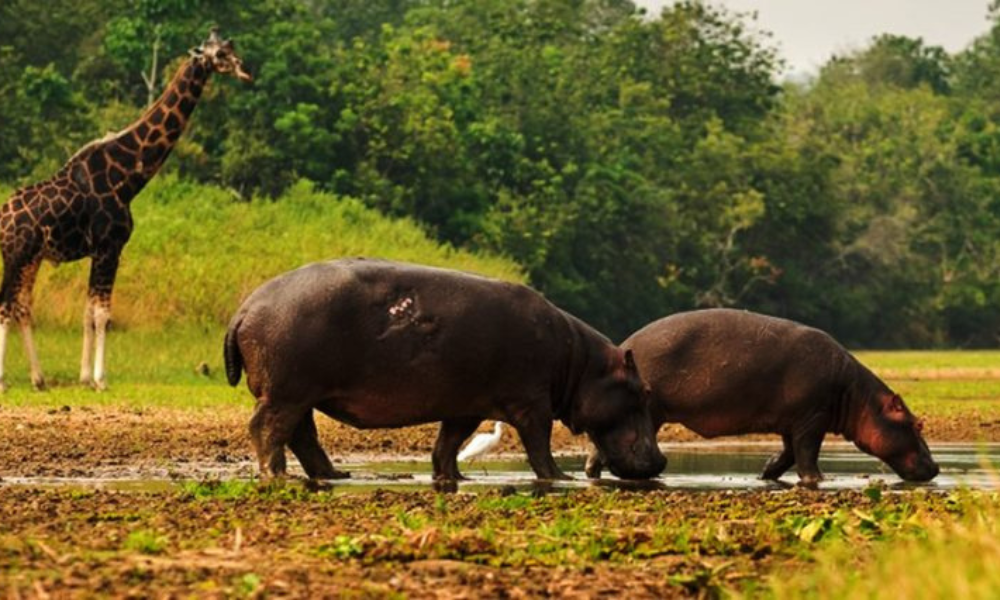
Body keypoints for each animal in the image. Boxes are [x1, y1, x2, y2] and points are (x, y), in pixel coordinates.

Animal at [0, 29, 254, 394]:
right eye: (219, 54)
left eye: (231, 48)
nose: (245, 70)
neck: (128, 179)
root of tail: (3, 218)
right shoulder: (111, 246)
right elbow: (102, 314)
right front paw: (100, 379)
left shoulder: (99, 251)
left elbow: (88, 311)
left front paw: (84, 377)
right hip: (16, 253)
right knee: (6, 305)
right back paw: (5, 378)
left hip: (32, 257)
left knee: (22, 306)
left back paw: (39, 379)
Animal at [584, 310, 936, 482]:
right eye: (916, 424)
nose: (936, 468)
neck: (859, 398)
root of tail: (622, 347)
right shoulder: (812, 419)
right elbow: (806, 454)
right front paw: (818, 479)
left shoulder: (792, 422)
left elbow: (788, 454)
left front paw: (766, 473)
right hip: (649, 413)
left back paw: (593, 474)